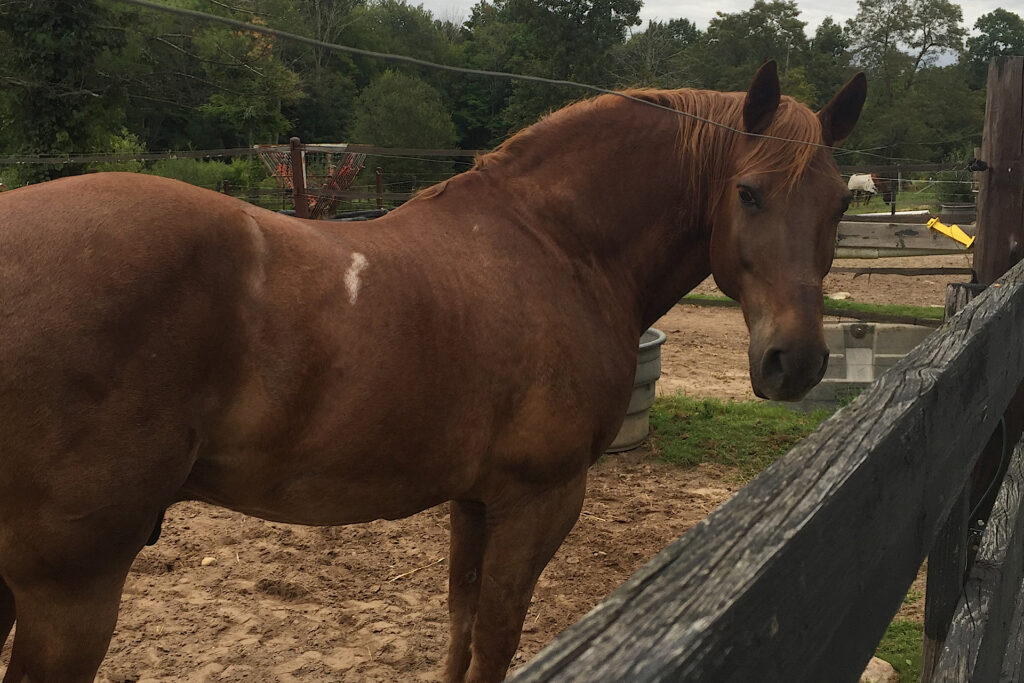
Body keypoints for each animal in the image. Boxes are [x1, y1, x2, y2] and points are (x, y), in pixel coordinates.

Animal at [0, 61, 864, 679]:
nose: (794, 361)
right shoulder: (540, 498)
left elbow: (459, 625)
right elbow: (496, 635)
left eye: (840, 205)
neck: (555, 244)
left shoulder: (475, 499)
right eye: (748, 192)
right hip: (71, 589)